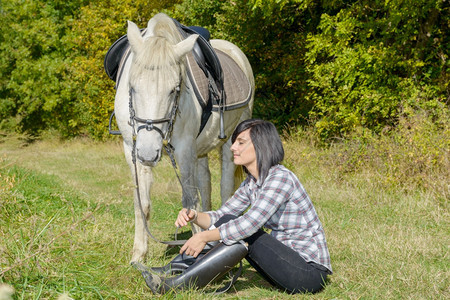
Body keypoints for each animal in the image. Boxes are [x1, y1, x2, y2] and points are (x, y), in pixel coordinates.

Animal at [114, 13, 255, 262]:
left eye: (174, 89)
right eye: (132, 87)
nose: (148, 153)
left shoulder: (184, 149)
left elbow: (189, 201)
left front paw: (195, 251)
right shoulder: (132, 148)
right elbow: (142, 203)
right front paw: (139, 255)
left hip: (231, 142)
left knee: (225, 187)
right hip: (200, 151)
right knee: (206, 184)